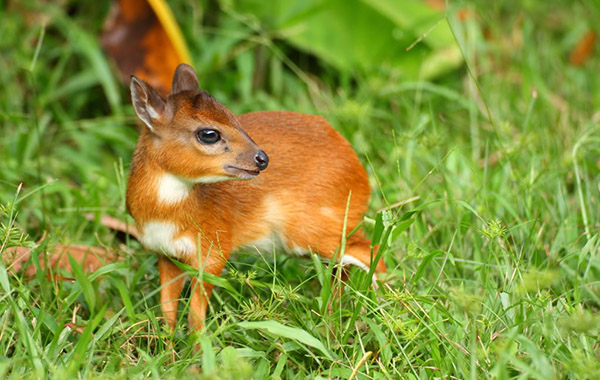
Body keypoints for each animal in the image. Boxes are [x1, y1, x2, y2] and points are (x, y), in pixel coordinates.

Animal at [127, 63, 386, 332]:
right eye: (209, 133)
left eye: (233, 116)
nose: (262, 159)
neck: (165, 214)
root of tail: (361, 176)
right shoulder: (165, 253)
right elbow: (167, 309)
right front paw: (167, 343)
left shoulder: (214, 249)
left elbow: (196, 314)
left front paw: (197, 343)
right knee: (344, 265)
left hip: (310, 230)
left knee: (372, 252)